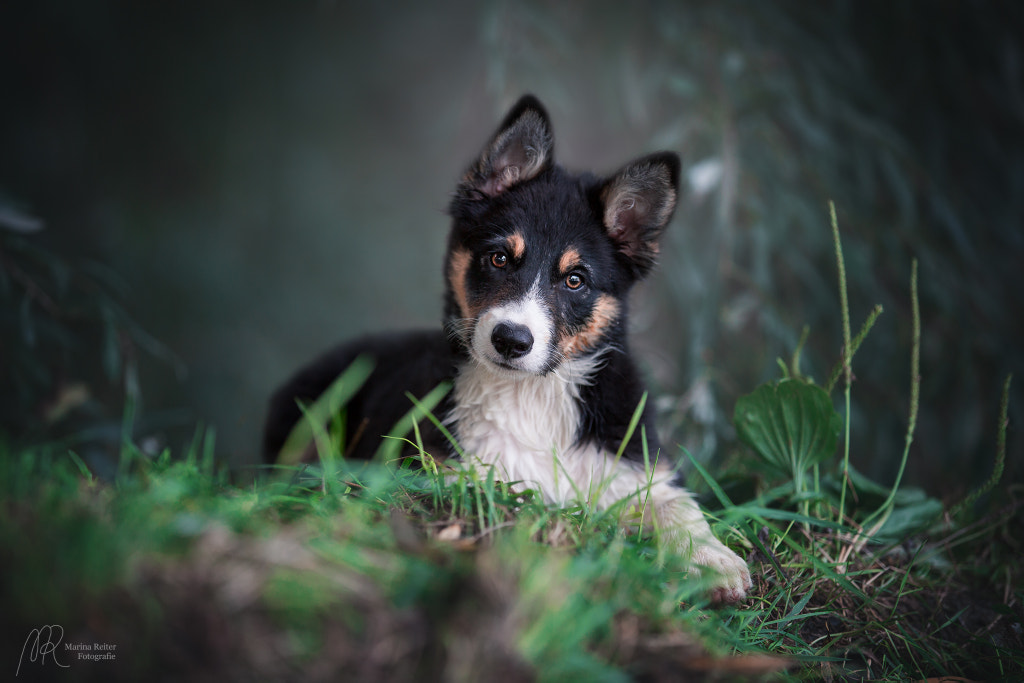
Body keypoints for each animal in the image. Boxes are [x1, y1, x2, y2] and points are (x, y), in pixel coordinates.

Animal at [264, 94, 753, 602]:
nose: (511, 340)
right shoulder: (444, 469)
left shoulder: (635, 465)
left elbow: (678, 505)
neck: (530, 394)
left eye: (575, 280)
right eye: (499, 258)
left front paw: (713, 559)